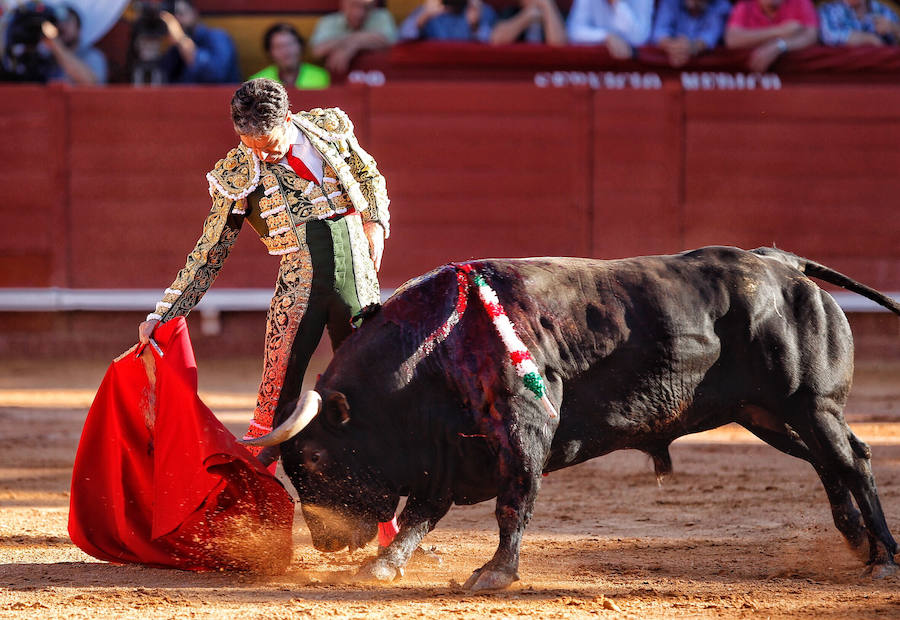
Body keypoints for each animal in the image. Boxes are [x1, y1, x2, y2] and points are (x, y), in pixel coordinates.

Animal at [241, 245, 900, 588]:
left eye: (315, 459)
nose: (327, 543)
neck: (436, 348)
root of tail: (781, 264)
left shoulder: (524, 429)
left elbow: (513, 504)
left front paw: (494, 575)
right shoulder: (448, 456)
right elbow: (422, 516)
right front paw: (383, 565)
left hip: (811, 404)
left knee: (853, 459)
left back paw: (884, 557)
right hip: (766, 414)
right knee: (825, 463)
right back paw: (855, 540)